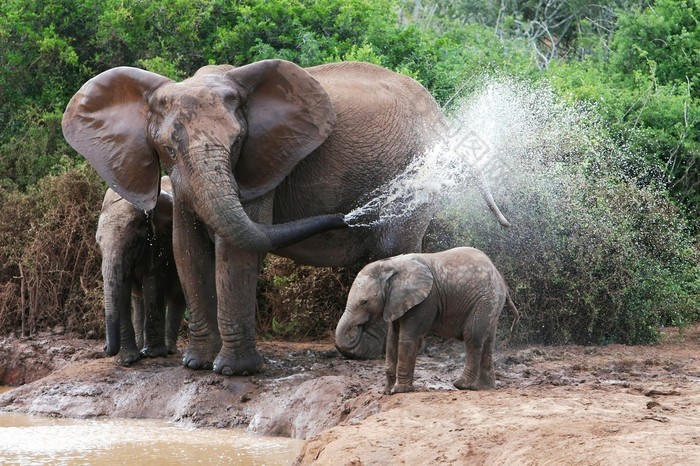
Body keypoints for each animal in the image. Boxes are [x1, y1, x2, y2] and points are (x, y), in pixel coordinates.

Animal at [98, 177, 187, 366]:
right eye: (98, 244)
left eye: (133, 243)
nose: (104, 347)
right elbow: (123, 290)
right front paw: (127, 360)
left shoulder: (161, 241)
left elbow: (153, 282)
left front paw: (152, 355)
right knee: (138, 301)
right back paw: (140, 348)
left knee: (178, 297)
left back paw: (168, 350)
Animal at [334, 246, 520, 396]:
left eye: (364, 302)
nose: (358, 327)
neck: (392, 265)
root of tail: (501, 279)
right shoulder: (396, 302)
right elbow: (392, 339)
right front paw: (386, 391)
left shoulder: (424, 301)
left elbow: (408, 338)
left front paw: (400, 391)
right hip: (491, 303)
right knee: (488, 340)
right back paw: (484, 387)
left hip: (484, 299)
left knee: (473, 337)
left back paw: (461, 385)